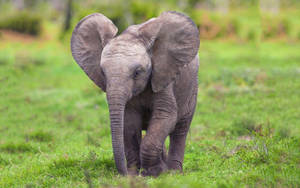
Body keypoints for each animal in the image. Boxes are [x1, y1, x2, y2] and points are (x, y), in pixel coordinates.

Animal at [70, 11, 200, 176]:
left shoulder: (163, 77)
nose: (124, 173)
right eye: (103, 73)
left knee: (181, 129)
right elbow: (129, 122)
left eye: (137, 72)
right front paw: (135, 174)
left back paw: (174, 172)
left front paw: (154, 173)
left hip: (191, 87)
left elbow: (165, 116)